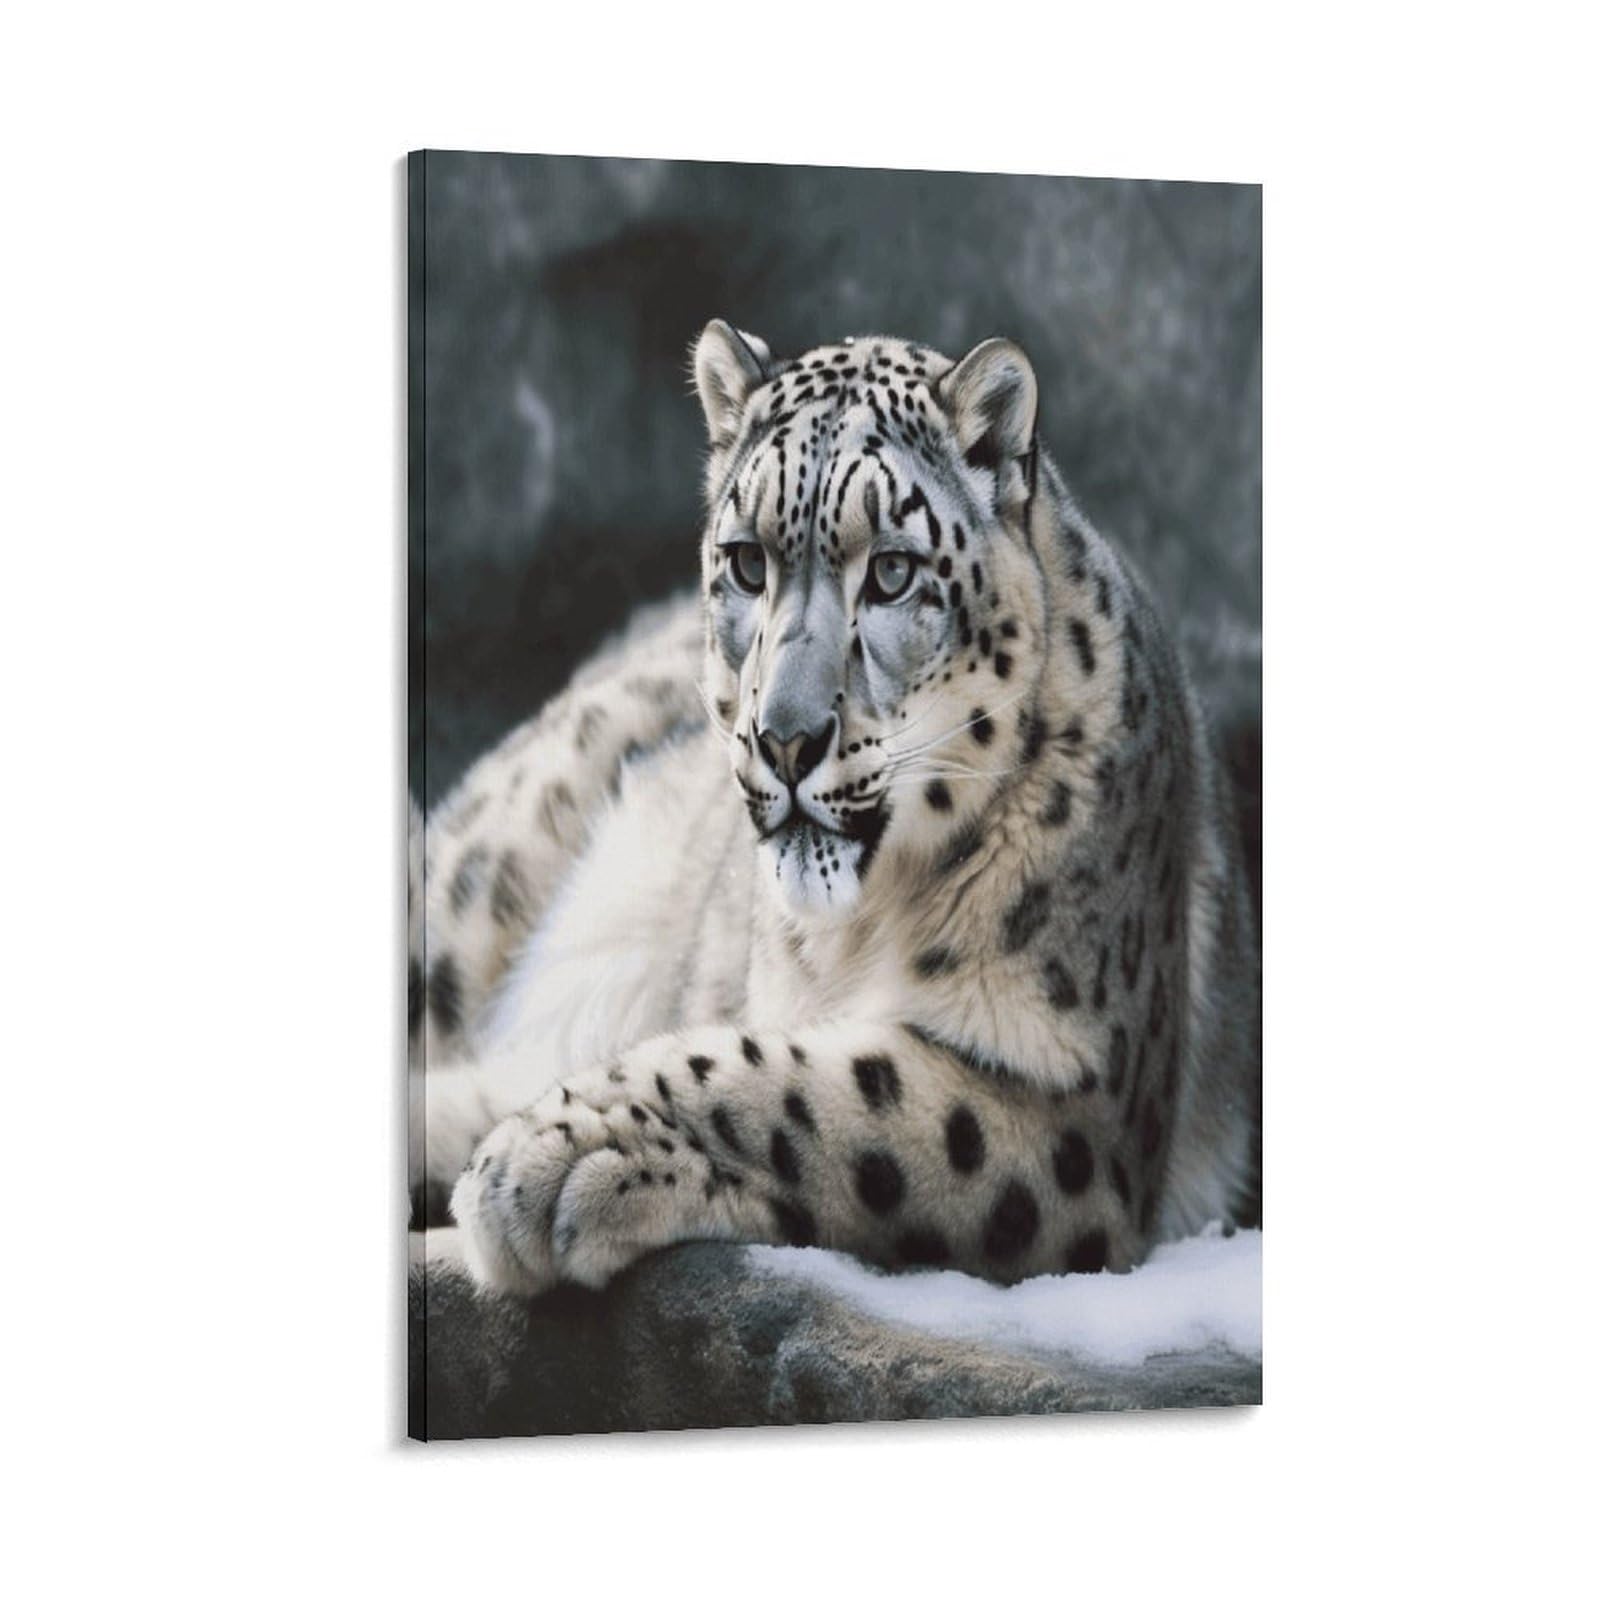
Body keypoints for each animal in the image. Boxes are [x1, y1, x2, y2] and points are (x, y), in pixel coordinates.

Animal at [411, 321, 1260, 1299]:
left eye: (891, 572)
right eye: (747, 562)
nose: (785, 739)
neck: (860, 929)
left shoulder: (1076, 1111)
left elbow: (811, 1093)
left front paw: (549, 1158)